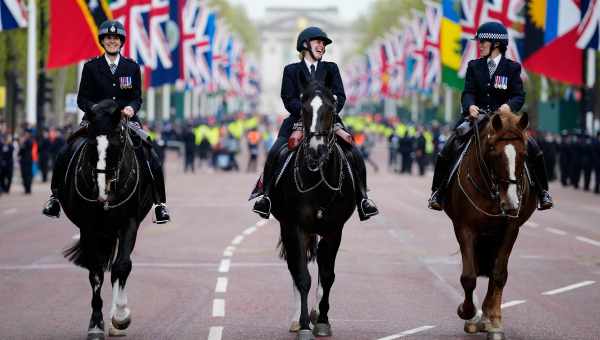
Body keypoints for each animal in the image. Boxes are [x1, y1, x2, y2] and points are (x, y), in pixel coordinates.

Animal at [57, 99, 154, 340]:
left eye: (118, 141)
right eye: (92, 143)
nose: (102, 193)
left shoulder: (129, 223)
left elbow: (122, 266)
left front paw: (120, 317)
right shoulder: (88, 228)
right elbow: (96, 273)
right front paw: (96, 323)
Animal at [270, 82, 356, 340]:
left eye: (330, 108)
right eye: (304, 108)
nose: (317, 149)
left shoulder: (334, 230)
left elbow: (327, 276)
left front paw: (323, 321)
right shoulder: (295, 227)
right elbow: (302, 276)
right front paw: (305, 325)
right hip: (290, 228)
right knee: (295, 269)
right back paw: (298, 319)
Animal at [442, 113, 536, 340]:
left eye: (524, 153)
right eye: (494, 151)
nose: (511, 203)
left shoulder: (511, 229)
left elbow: (499, 274)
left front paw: (494, 322)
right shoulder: (465, 228)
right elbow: (469, 276)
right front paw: (466, 312)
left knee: (494, 272)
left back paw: (488, 318)